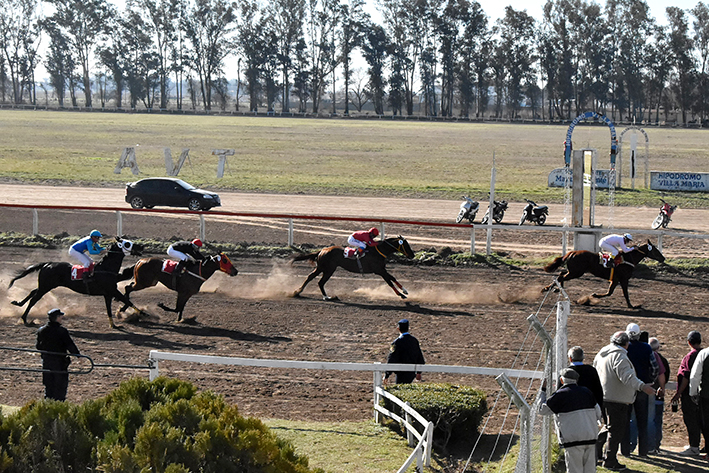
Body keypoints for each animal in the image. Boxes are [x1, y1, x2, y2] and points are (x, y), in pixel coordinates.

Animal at [8, 238, 145, 326]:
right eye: (127, 244)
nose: (141, 246)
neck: (106, 268)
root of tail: (47, 264)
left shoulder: (109, 293)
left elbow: (116, 306)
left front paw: (116, 322)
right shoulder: (111, 291)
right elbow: (126, 300)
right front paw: (143, 313)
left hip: (45, 285)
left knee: (32, 292)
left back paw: (18, 303)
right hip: (46, 286)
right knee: (34, 299)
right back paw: (24, 318)